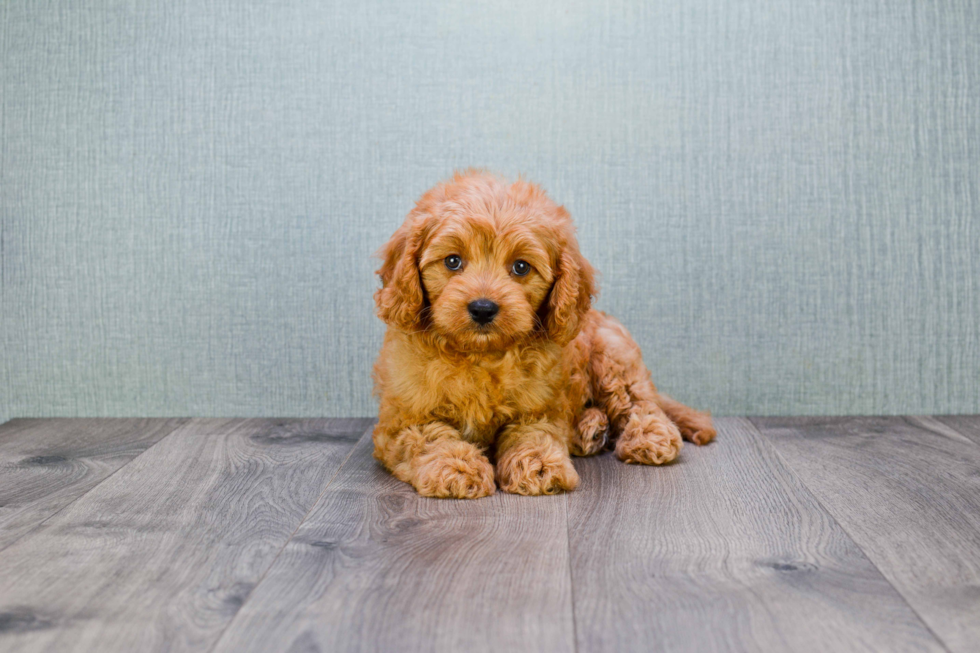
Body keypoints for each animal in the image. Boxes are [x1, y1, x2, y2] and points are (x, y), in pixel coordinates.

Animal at [372, 171, 716, 496]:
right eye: (453, 261)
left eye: (521, 267)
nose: (483, 308)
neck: (481, 354)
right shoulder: (402, 419)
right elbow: (430, 437)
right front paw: (456, 467)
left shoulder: (539, 409)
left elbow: (534, 434)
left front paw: (538, 465)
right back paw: (591, 430)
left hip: (613, 352)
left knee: (639, 402)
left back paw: (649, 436)